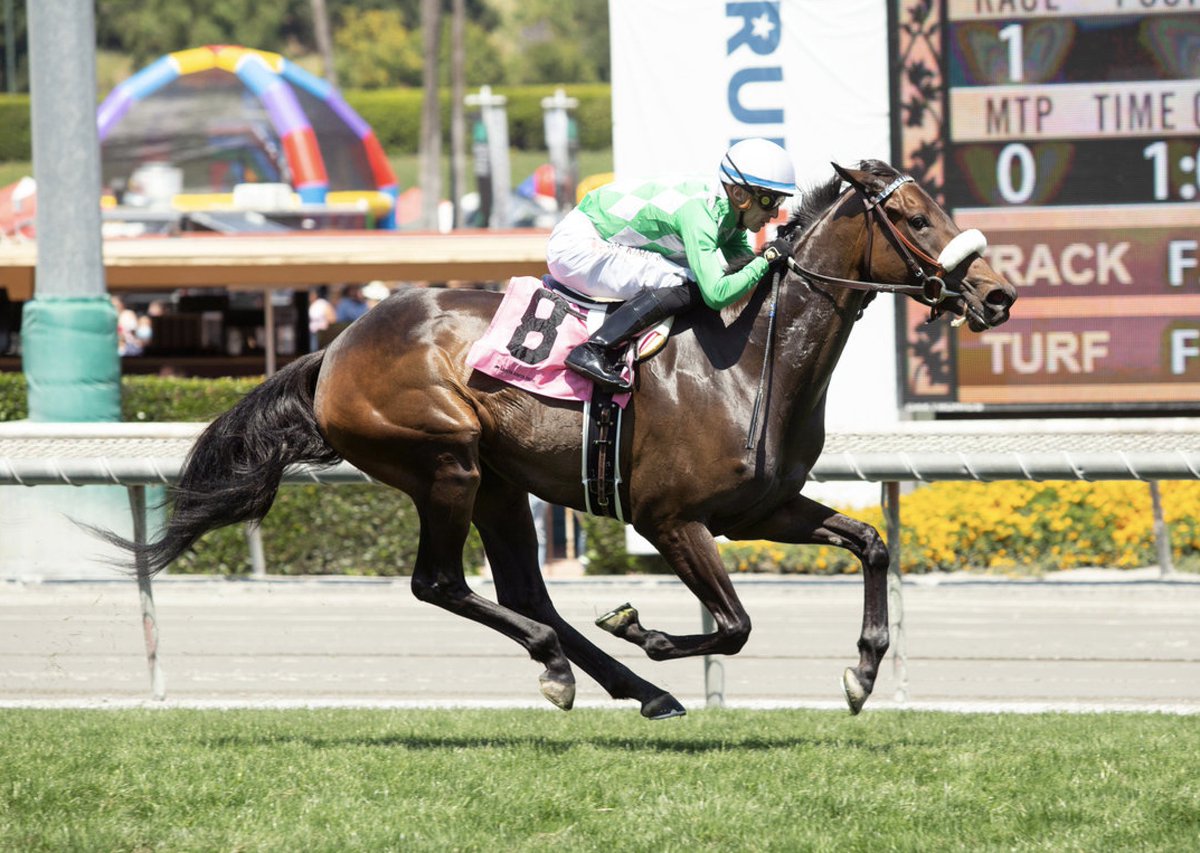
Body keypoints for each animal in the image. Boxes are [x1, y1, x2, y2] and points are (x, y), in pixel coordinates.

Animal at [104, 160, 1016, 719]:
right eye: (913, 215)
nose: (999, 293)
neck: (747, 359)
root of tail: (337, 346)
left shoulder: (760, 507)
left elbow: (869, 542)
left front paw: (862, 671)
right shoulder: (668, 518)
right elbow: (733, 625)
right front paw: (645, 629)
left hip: (502, 482)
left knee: (523, 591)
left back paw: (633, 687)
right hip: (446, 462)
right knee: (441, 583)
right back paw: (565, 665)